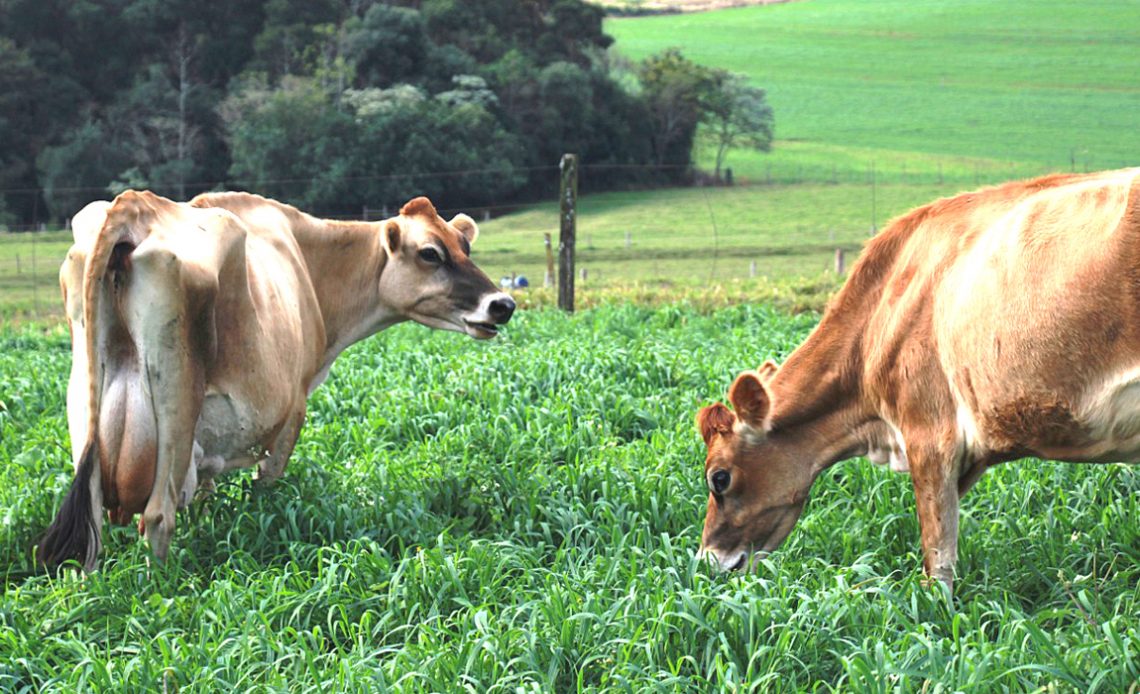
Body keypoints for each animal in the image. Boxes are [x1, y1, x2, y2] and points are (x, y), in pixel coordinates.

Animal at [37, 188, 515, 567]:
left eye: (465, 246)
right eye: (430, 253)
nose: (503, 304)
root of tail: (135, 204)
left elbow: (205, 496)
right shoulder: (293, 410)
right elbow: (264, 487)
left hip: (85, 400)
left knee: (92, 522)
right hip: (176, 406)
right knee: (156, 517)